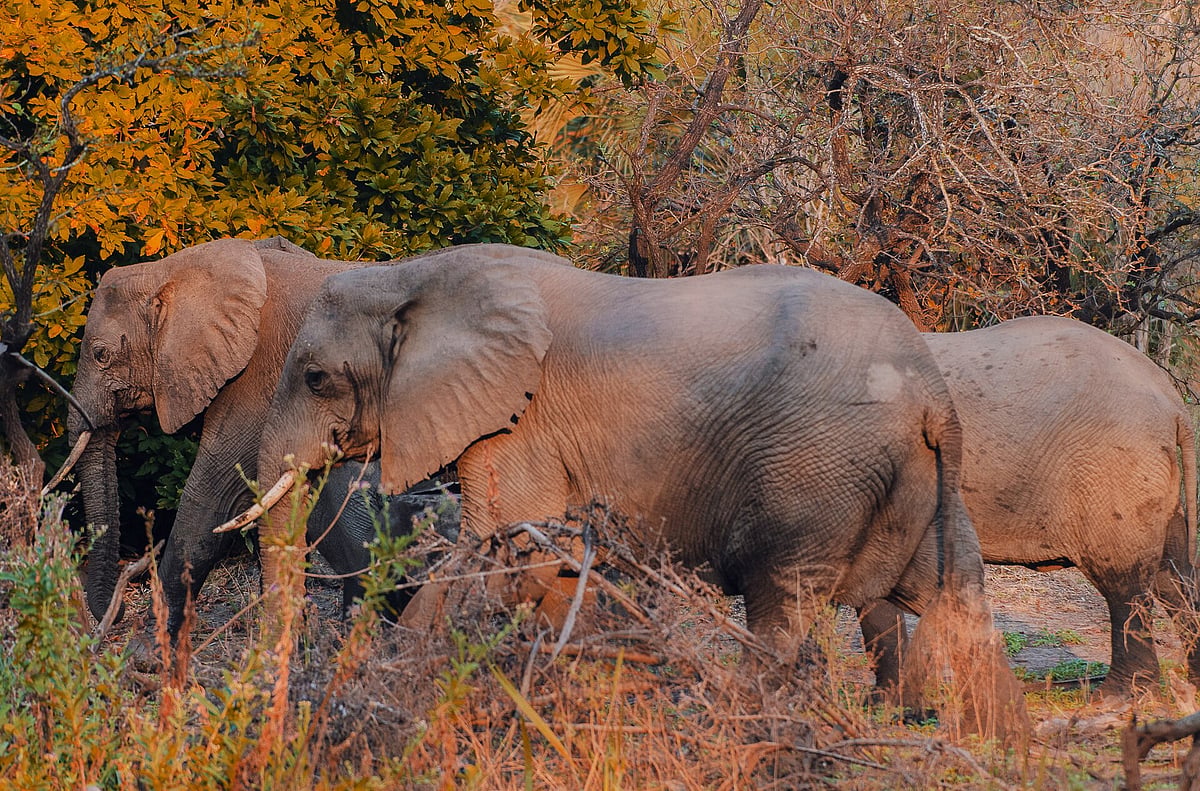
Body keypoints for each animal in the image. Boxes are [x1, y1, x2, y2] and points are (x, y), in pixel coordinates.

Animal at [67, 237, 394, 634]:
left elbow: (213, 491)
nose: (117, 612)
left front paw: (148, 644)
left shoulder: (261, 371)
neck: (170, 270)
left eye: (101, 354)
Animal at [861, 315, 1200, 695]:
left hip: (1115, 469)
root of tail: (1172, 400)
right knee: (1172, 576)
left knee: (1124, 577)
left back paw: (1117, 697)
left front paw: (882, 700)